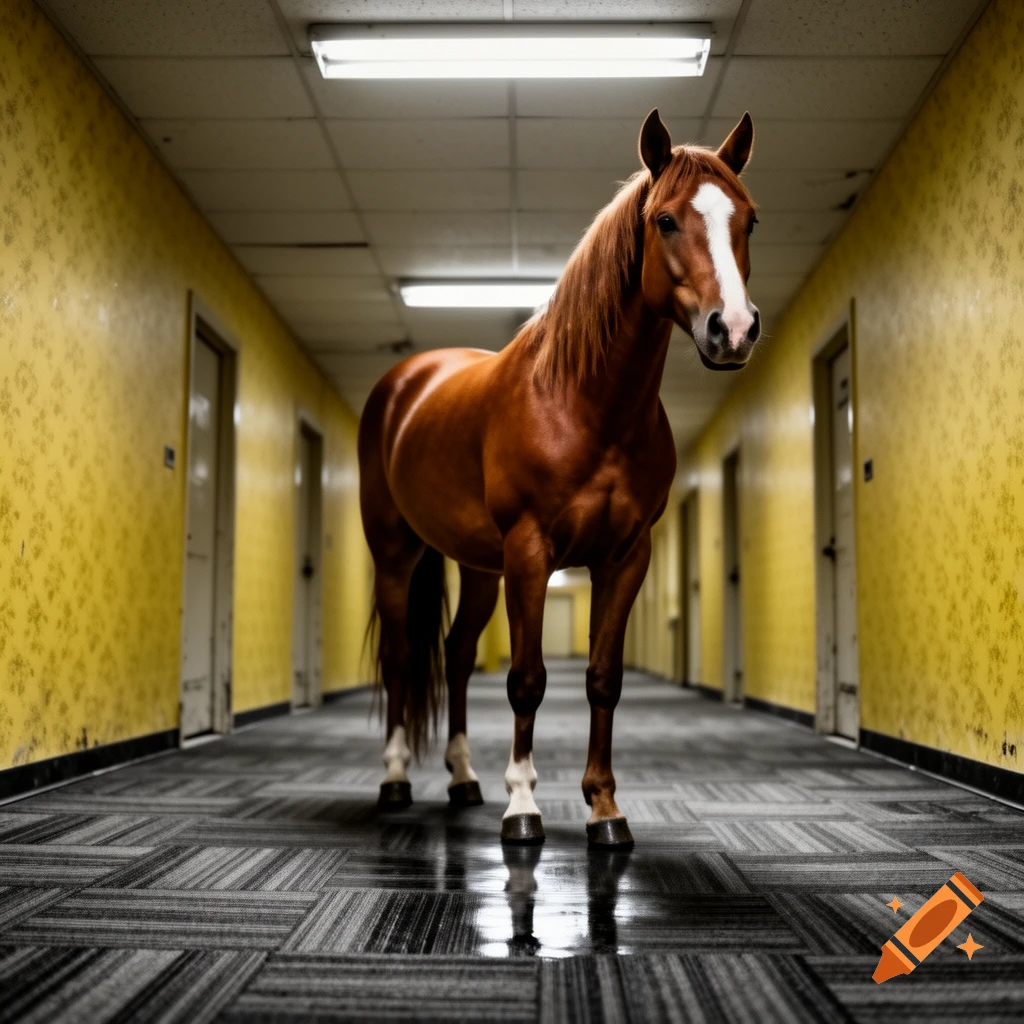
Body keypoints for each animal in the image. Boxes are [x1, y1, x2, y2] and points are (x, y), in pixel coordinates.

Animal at [358, 109, 760, 849]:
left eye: (749, 219)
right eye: (665, 220)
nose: (735, 330)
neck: (585, 403)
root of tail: (406, 379)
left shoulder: (625, 556)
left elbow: (602, 678)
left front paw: (604, 808)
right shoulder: (531, 551)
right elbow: (526, 678)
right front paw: (522, 806)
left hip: (478, 567)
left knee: (457, 654)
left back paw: (463, 779)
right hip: (397, 551)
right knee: (401, 656)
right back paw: (397, 778)